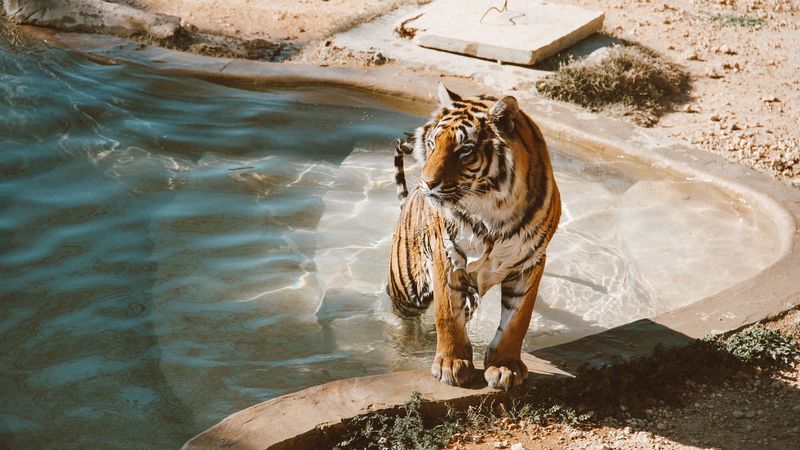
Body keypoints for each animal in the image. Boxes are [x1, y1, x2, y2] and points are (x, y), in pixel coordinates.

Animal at [386, 82, 561, 390]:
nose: (426, 183)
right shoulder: (446, 257)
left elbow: (517, 320)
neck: (493, 210)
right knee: (403, 319)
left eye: (464, 150)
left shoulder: (531, 263)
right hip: (406, 287)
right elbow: (447, 315)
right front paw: (450, 364)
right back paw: (406, 345)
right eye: (432, 143)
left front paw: (504, 366)